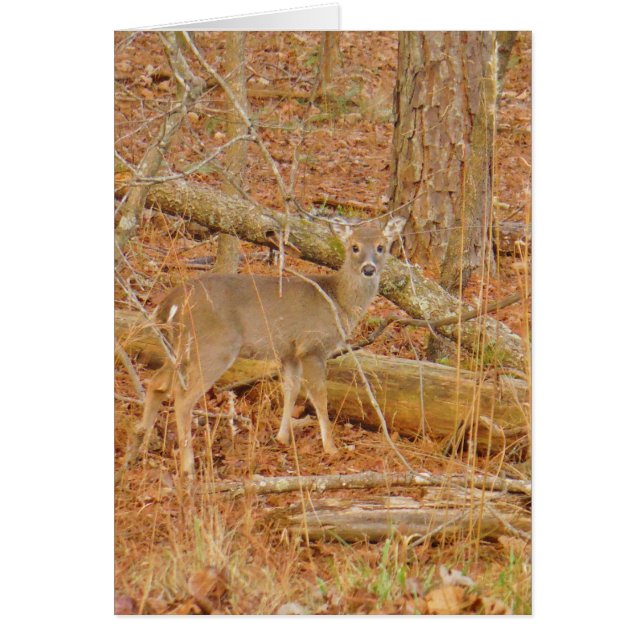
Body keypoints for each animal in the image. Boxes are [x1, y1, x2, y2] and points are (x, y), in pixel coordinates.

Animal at [120, 215, 406, 480]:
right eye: (354, 247)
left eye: (381, 246)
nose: (369, 268)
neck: (338, 302)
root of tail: (170, 301)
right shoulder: (312, 346)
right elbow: (319, 395)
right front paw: (331, 448)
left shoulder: (289, 352)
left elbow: (291, 389)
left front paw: (282, 438)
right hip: (214, 347)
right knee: (183, 398)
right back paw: (187, 467)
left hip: (179, 348)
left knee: (157, 383)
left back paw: (136, 449)